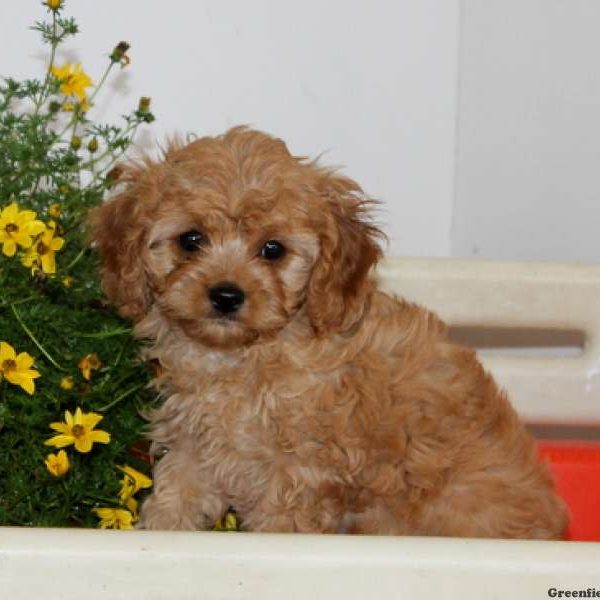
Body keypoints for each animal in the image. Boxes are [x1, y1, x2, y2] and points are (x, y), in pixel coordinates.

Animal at [88, 126, 568, 540]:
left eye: (273, 249)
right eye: (190, 240)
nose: (225, 295)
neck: (241, 357)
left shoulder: (297, 477)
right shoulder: (196, 445)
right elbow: (176, 496)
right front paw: (158, 532)